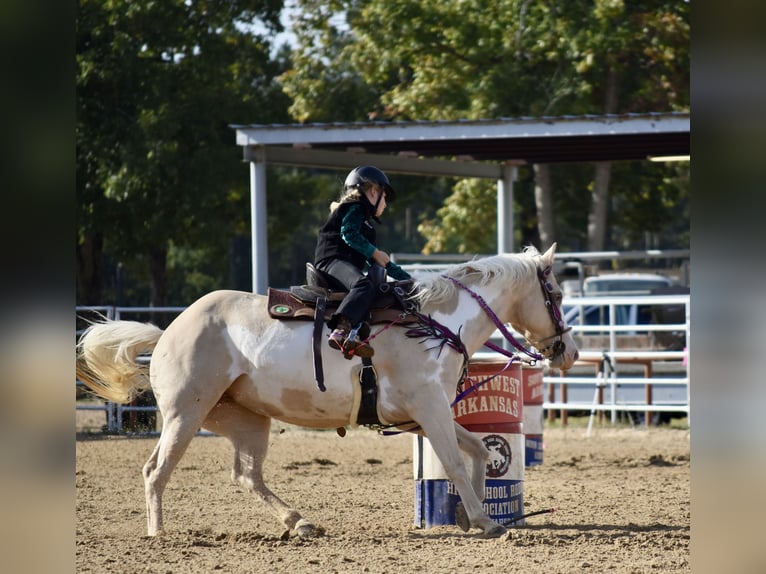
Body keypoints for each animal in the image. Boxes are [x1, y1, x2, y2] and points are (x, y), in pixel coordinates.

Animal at [76, 243, 578, 539]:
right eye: (554, 294)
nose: (568, 351)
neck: (434, 322)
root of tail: (167, 332)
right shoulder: (429, 407)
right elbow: (455, 459)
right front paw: (486, 521)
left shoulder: (427, 413)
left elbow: (476, 447)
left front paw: (468, 514)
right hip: (185, 415)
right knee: (155, 470)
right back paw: (157, 534)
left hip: (245, 420)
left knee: (246, 475)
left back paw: (300, 522)